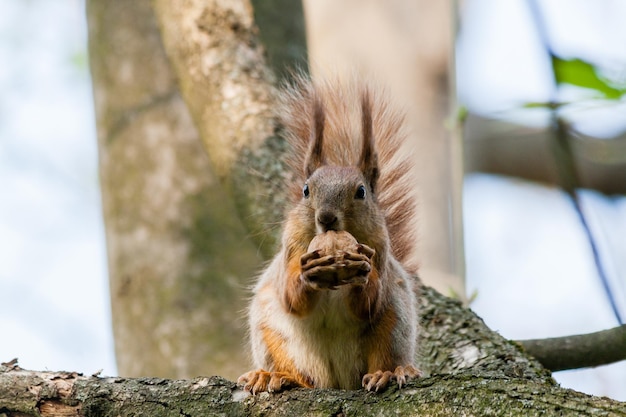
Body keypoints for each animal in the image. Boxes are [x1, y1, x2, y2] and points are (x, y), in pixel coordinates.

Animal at [238, 74, 420, 390]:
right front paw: (308, 273)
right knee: (300, 374)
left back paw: (386, 373)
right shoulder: (292, 246)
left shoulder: (379, 248)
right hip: (270, 330)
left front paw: (360, 270)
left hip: (394, 323)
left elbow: (368, 304)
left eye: (361, 192)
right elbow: (292, 299)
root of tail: (336, 380)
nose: (325, 218)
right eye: (305, 190)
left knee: (385, 349)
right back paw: (276, 375)